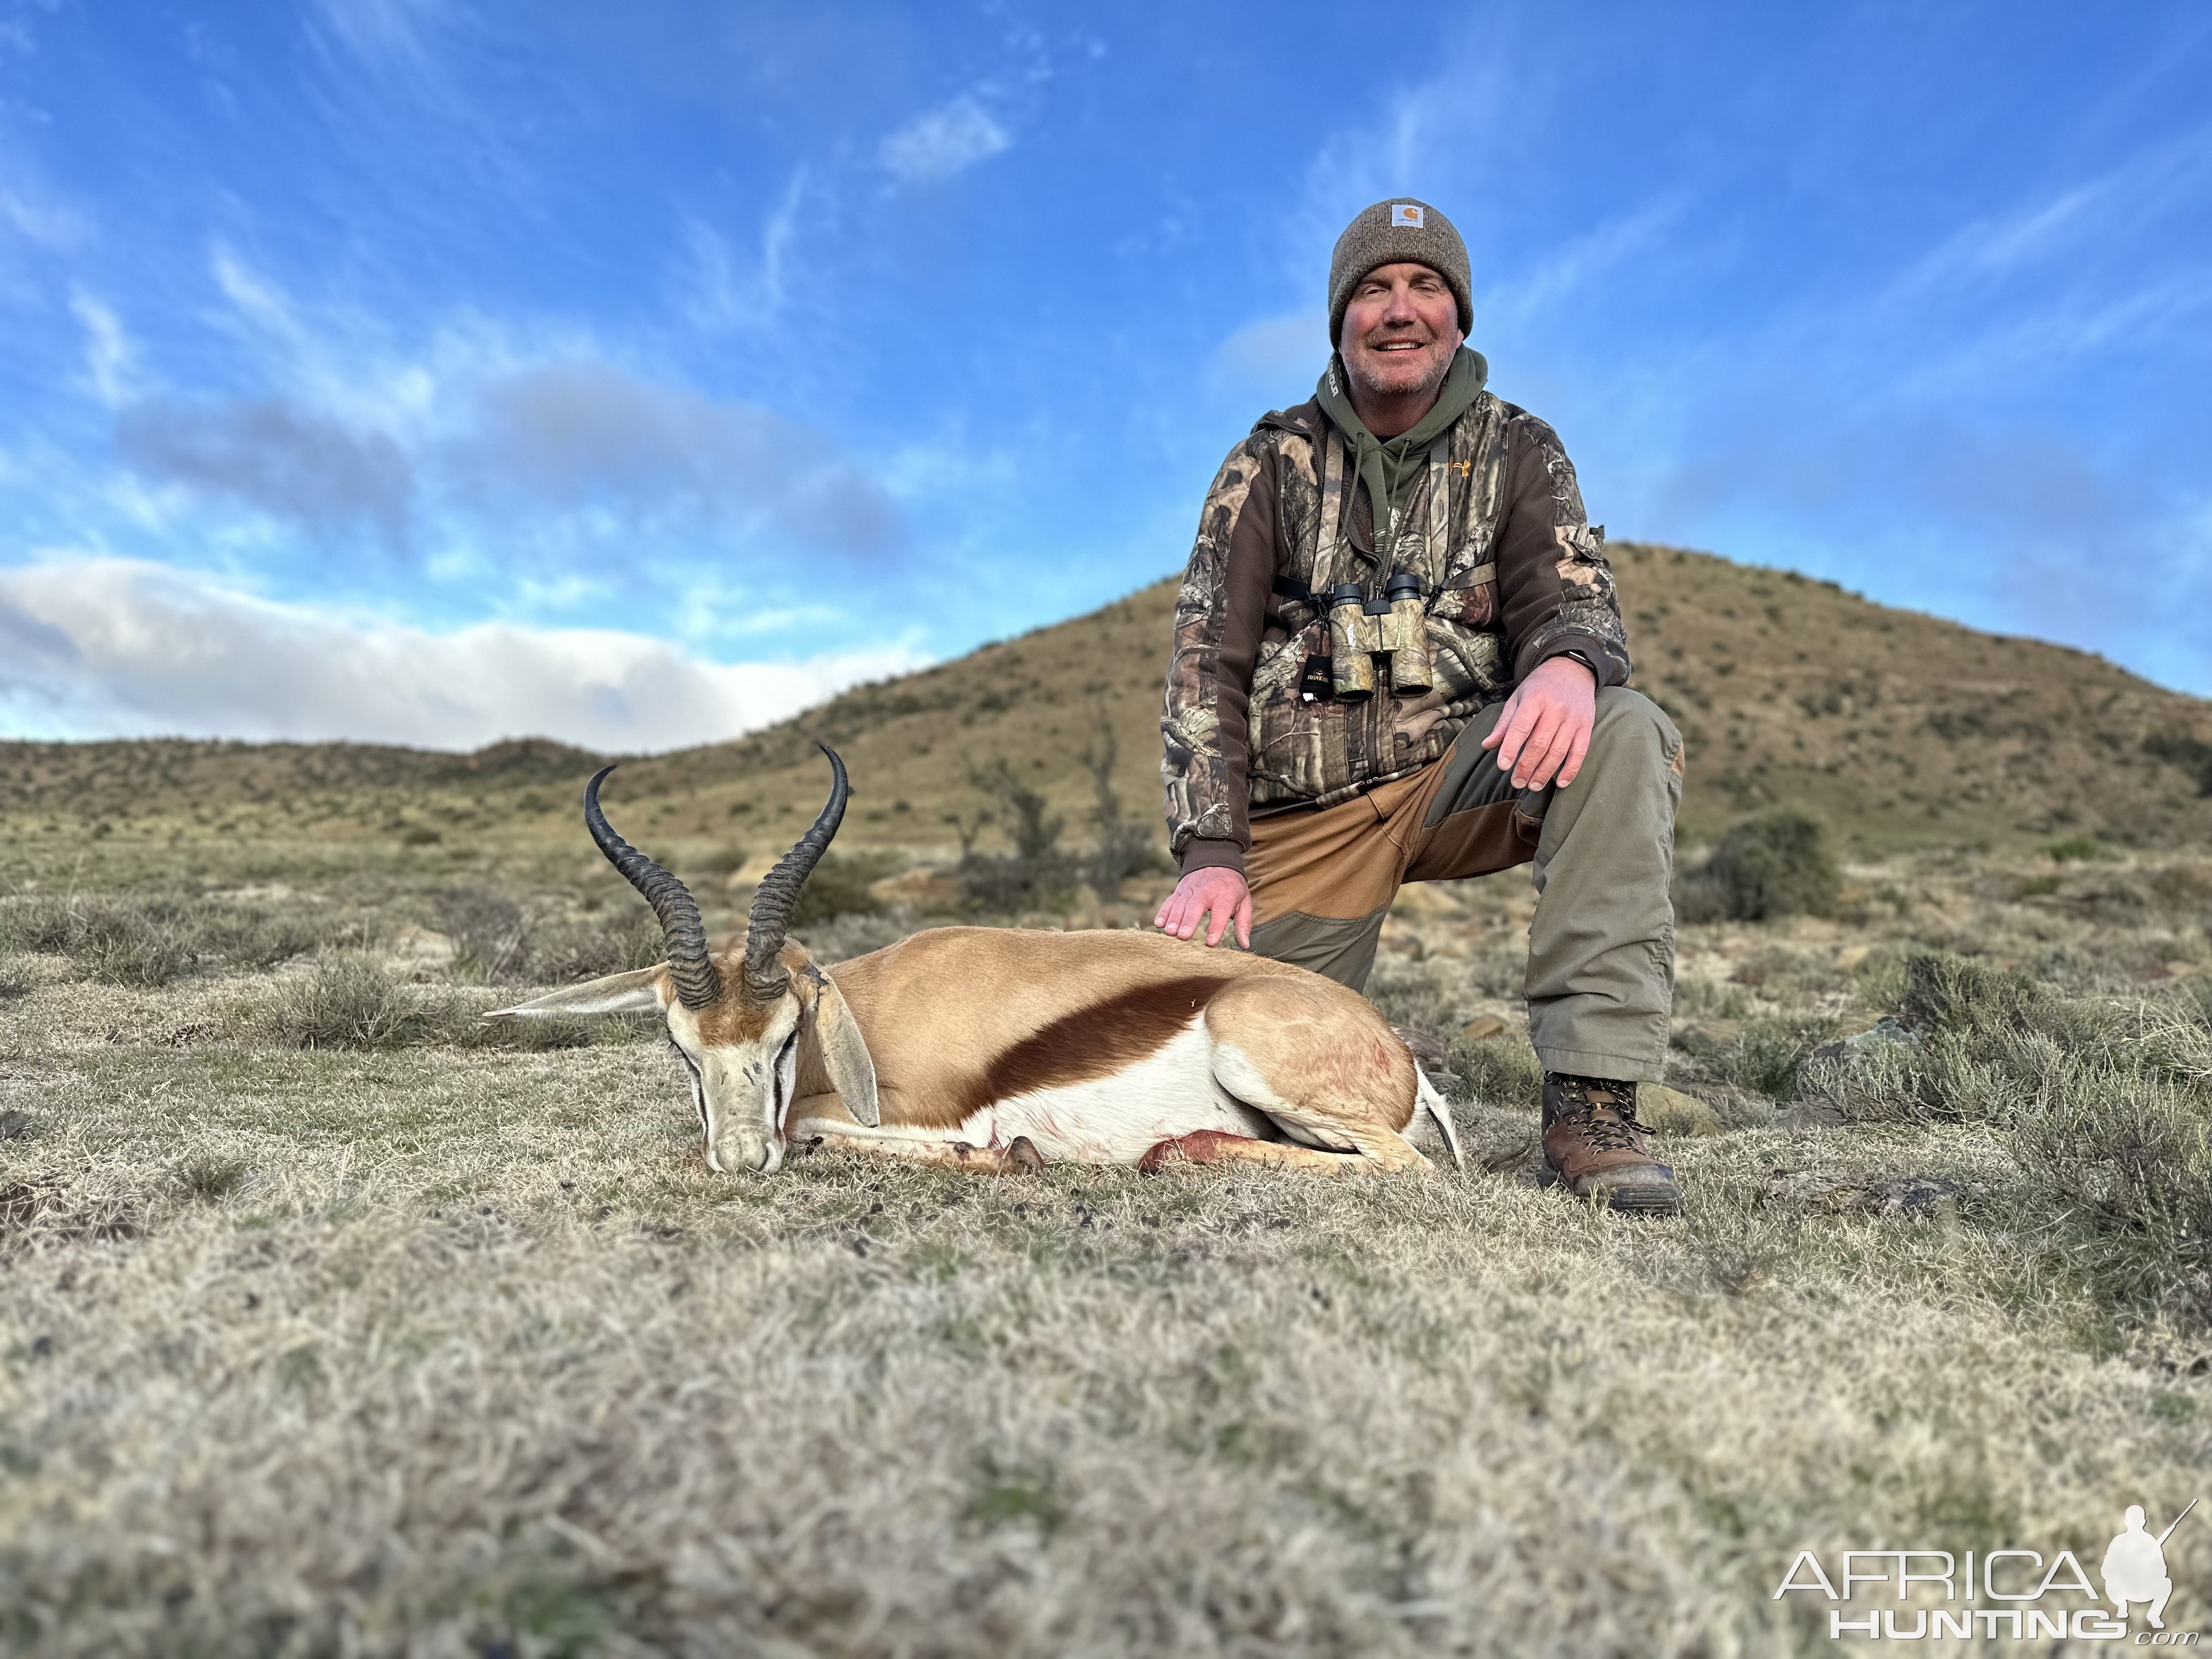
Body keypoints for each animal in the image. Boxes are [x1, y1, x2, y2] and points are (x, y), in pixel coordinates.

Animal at [498, 747, 1469, 1177]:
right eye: (678, 1046)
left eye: (784, 1037)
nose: (740, 1161)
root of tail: (1403, 1058)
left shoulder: (922, 1114)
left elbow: (817, 1130)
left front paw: (1007, 1154)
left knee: (1405, 1167)